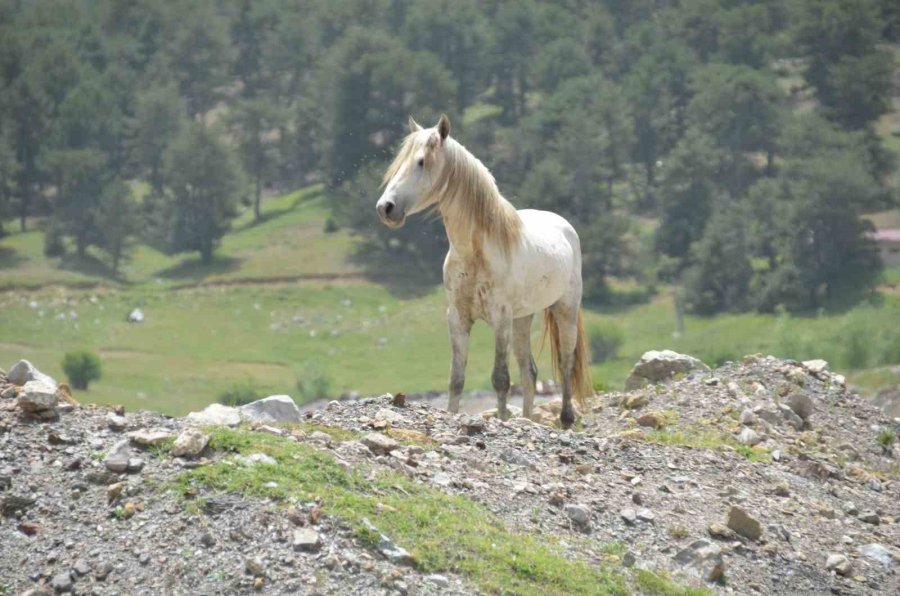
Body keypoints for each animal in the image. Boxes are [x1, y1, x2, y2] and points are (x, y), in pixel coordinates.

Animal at [372, 114, 592, 428]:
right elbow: (456, 379)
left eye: (422, 161)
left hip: (565, 310)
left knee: (565, 363)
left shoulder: (500, 318)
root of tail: (565, 226)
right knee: (529, 372)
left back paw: (566, 419)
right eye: (399, 162)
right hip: (522, 320)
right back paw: (527, 419)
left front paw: (501, 421)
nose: (386, 208)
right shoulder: (457, 318)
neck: (473, 252)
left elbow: (500, 379)